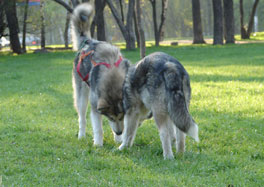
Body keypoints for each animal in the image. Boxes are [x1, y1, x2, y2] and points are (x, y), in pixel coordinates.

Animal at [71, 3, 129, 146]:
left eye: (121, 117)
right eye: (111, 118)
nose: (119, 132)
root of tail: (88, 41)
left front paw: (119, 139)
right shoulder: (95, 106)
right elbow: (98, 128)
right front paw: (98, 144)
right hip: (82, 96)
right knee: (82, 118)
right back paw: (81, 135)